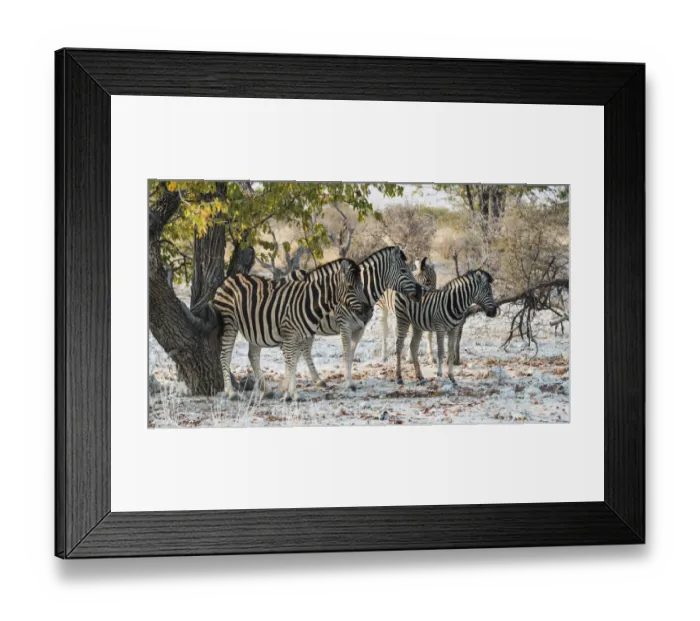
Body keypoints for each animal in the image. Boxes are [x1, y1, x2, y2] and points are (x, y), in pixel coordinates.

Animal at [213, 258, 371, 401]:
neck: (308, 302)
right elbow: (290, 362)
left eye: (362, 285)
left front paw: (288, 393)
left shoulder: (300, 337)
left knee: (253, 356)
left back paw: (267, 391)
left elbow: (293, 363)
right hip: (229, 324)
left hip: (255, 329)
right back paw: (231, 393)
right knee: (225, 355)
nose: (368, 310)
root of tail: (231, 278)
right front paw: (292, 394)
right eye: (350, 287)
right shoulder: (289, 335)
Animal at [293, 246, 424, 391]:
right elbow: (346, 353)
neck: (363, 292)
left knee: (305, 351)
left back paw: (317, 380)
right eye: (403, 270)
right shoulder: (345, 325)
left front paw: (349, 380)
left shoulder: (360, 328)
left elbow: (351, 354)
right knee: (304, 350)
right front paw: (349, 383)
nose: (421, 292)